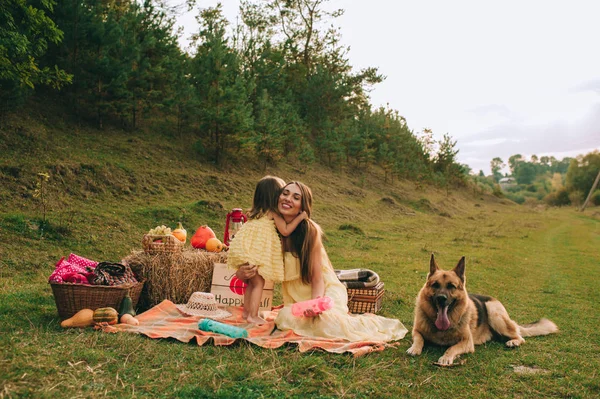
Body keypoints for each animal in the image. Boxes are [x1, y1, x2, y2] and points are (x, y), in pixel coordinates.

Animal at [408, 256, 556, 366]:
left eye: (451, 286)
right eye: (435, 285)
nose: (441, 299)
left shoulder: (467, 342)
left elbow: (452, 348)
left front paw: (446, 357)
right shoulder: (416, 331)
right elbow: (419, 339)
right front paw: (414, 348)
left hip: (494, 313)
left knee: (520, 336)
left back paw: (513, 342)